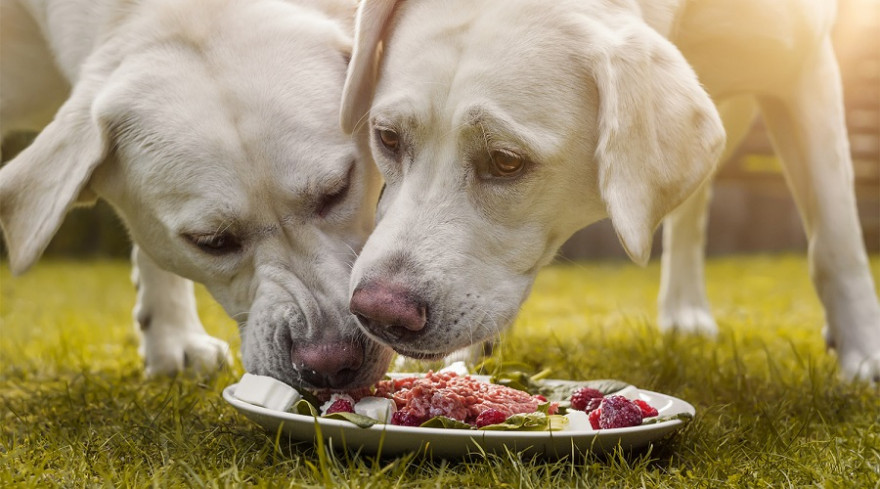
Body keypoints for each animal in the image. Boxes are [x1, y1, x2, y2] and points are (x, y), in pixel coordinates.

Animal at [338, 0, 880, 382]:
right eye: (388, 138)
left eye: (506, 161)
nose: (378, 312)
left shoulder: (807, 68)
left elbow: (835, 236)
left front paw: (864, 353)